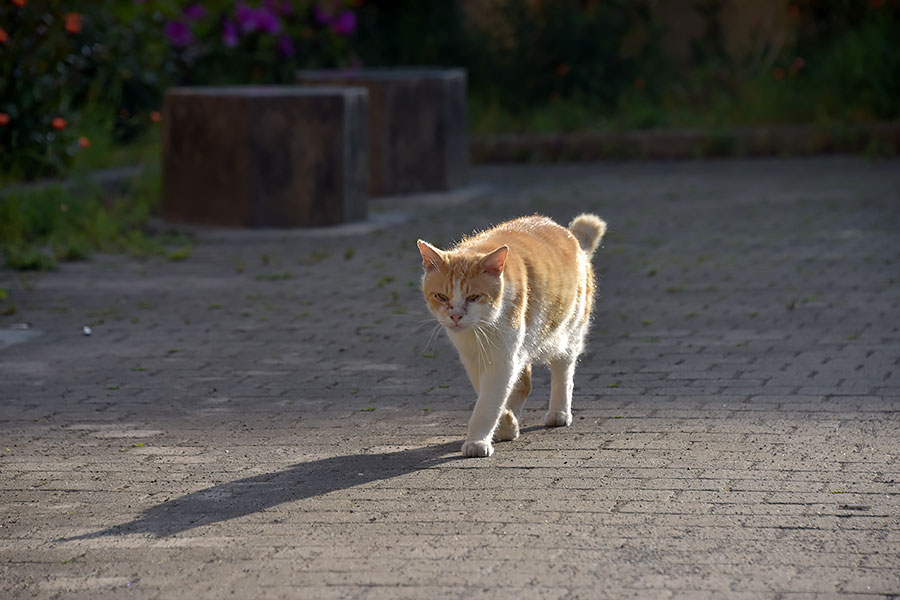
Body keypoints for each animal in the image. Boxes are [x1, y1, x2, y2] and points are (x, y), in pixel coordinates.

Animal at [420, 213, 604, 458]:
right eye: (441, 296)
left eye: (474, 297)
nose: (456, 316)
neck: (480, 329)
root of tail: (569, 233)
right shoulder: (473, 358)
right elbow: (492, 396)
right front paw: (506, 423)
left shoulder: (502, 359)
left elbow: (488, 404)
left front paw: (478, 441)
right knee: (523, 383)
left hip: (567, 334)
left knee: (562, 371)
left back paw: (559, 412)